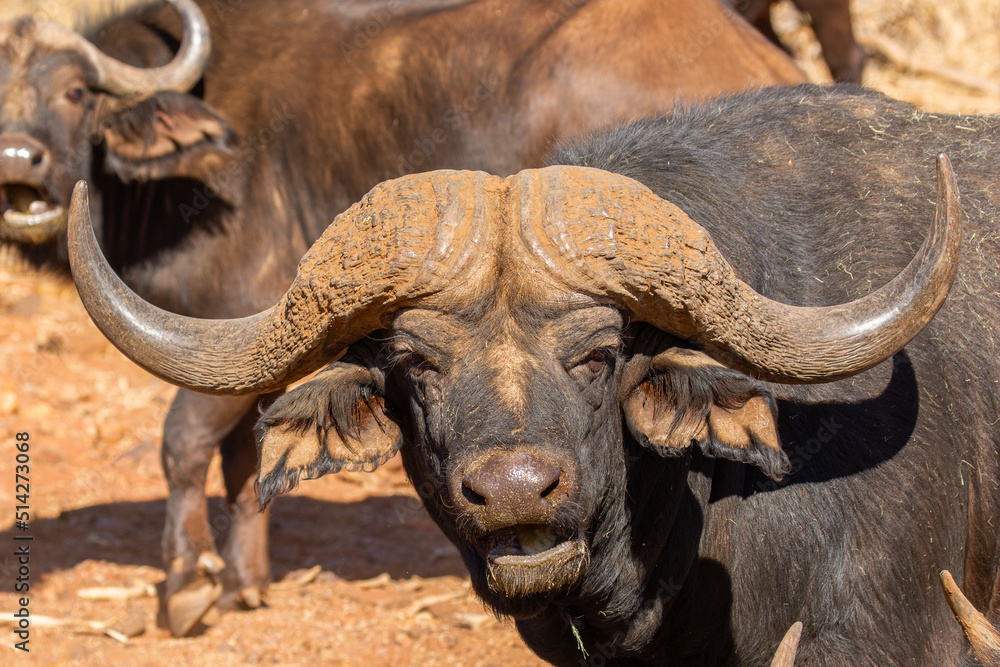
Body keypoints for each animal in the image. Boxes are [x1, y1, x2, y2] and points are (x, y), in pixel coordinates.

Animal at [2, 0, 804, 636]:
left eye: (75, 92)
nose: (19, 158)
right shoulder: (257, 344)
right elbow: (248, 456)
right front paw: (242, 582)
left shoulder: (235, 322)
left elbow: (186, 443)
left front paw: (186, 589)